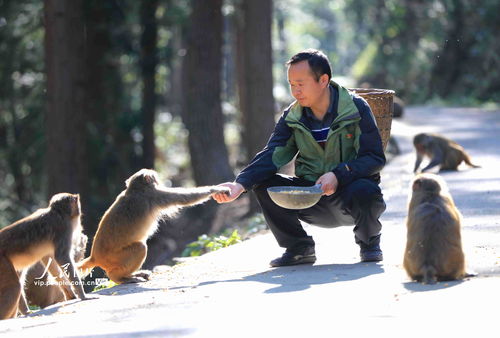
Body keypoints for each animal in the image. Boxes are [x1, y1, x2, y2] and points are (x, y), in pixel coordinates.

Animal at [77, 168, 230, 284]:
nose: (159, 179)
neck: (135, 189)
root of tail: (95, 257)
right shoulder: (155, 196)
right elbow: (185, 198)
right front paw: (215, 189)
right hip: (114, 258)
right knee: (140, 248)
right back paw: (119, 278)